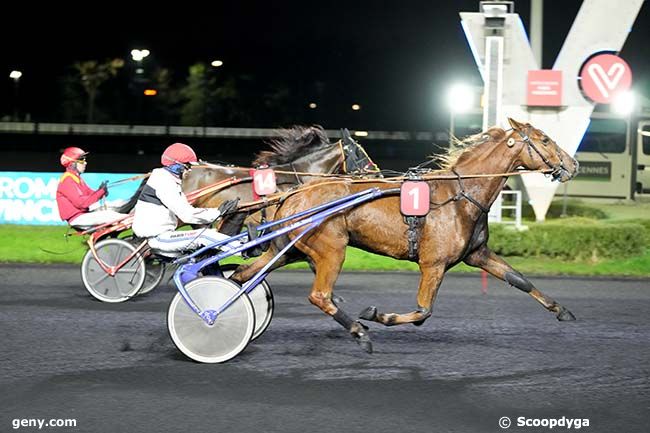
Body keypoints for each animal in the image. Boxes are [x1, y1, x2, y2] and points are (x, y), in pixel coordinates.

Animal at [233, 118, 576, 352]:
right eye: (545, 140)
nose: (572, 164)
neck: (461, 195)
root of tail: (295, 192)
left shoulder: (477, 254)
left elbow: (519, 279)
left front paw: (562, 310)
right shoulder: (433, 264)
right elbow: (424, 311)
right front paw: (377, 315)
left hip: (290, 249)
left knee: (242, 274)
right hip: (332, 249)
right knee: (319, 295)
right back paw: (359, 332)